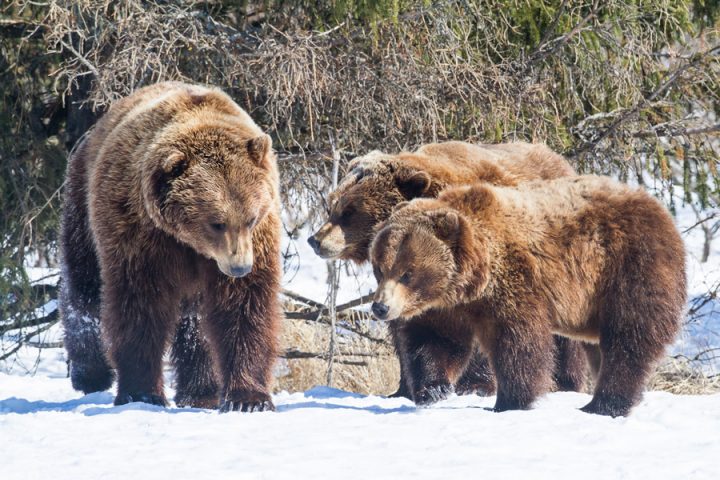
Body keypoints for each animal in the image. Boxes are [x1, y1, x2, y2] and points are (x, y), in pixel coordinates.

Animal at [59, 80, 282, 410]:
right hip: (82, 203)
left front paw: (248, 398)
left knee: (195, 325)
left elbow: (243, 306)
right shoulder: (142, 235)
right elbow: (140, 303)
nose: (239, 267)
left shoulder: (258, 240)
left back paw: (202, 390)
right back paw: (90, 373)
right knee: (84, 288)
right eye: (216, 222)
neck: (189, 241)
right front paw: (141, 392)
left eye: (251, 218)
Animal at [306, 141, 588, 404]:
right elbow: (422, 331)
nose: (315, 240)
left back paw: (567, 382)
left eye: (349, 211)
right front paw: (415, 388)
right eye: (332, 205)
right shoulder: (418, 289)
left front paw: (475, 386)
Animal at [372, 176, 688, 416]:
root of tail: (658, 208)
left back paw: (604, 404)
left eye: (407, 273)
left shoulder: (515, 282)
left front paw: (510, 401)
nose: (380, 307)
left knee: (628, 337)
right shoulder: (446, 306)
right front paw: (434, 389)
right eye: (379, 268)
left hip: (627, 266)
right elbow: (436, 339)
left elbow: (518, 342)